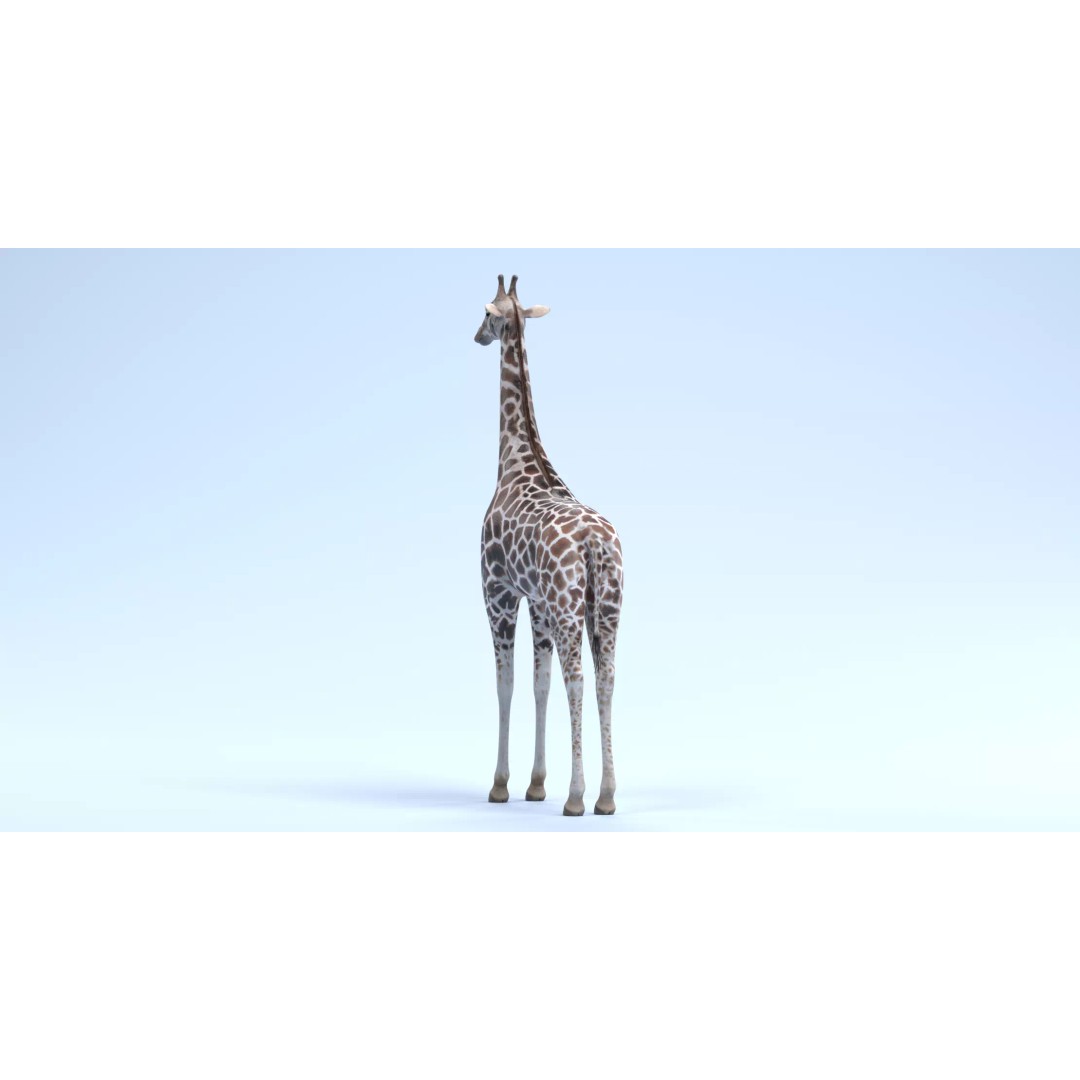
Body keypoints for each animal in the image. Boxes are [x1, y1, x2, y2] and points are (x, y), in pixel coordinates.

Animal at [474, 274, 624, 817]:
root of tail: (595, 544)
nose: (476, 336)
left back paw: (578, 797)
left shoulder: (498, 591)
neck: (517, 463)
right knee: (604, 679)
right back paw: (606, 795)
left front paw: (501, 784)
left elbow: (507, 683)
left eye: (488, 315)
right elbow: (537, 685)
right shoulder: (536, 601)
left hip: (568, 607)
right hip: (605, 606)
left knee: (577, 679)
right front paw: (536, 784)